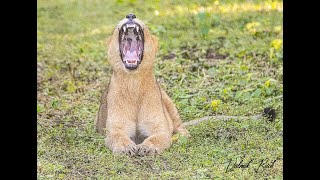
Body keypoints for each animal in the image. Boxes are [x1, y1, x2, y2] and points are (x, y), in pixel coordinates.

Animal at [95, 13, 190, 155]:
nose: (130, 15)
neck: (134, 81)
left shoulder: (160, 127)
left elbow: (158, 137)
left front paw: (147, 147)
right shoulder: (114, 128)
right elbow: (118, 136)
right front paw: (126, 147)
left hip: (168, 101)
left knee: (180, 126)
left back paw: (180, 137)